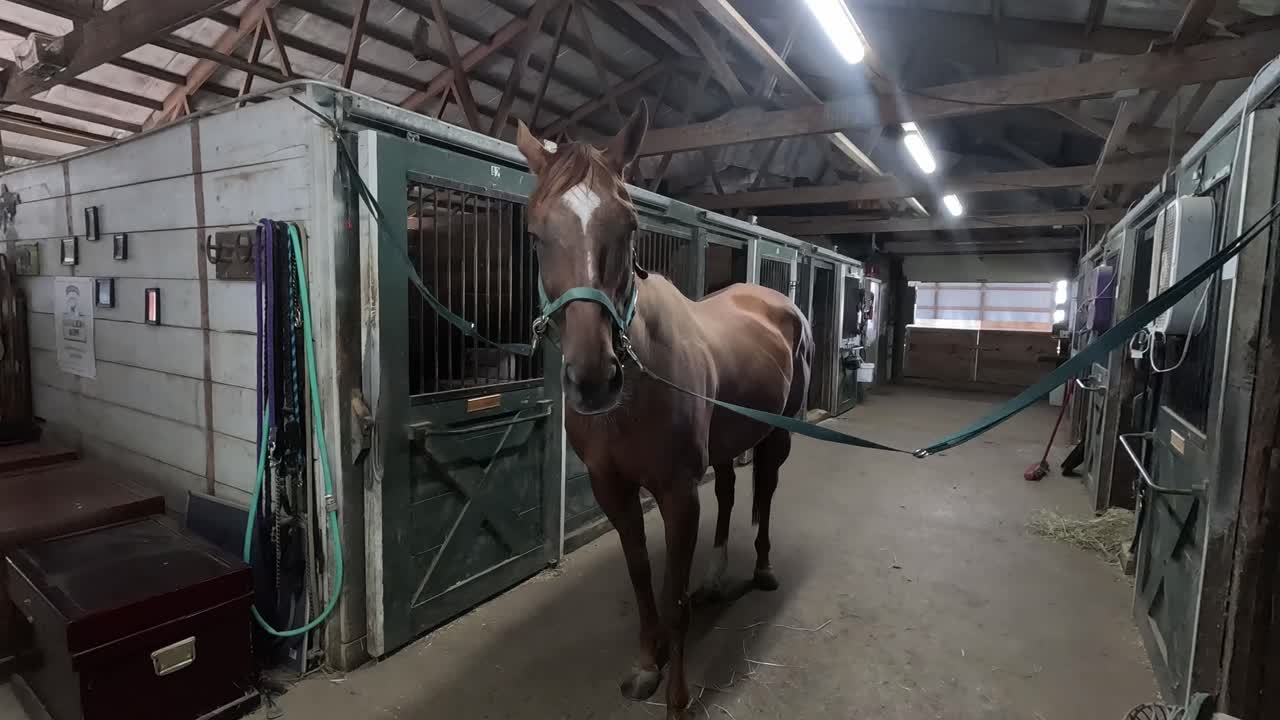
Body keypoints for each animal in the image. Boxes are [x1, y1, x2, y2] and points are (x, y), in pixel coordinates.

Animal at [515, 100, 814, 719]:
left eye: (630, 228)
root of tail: (777, 302)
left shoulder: (677, 493)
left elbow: (673, 595)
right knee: (729, 492)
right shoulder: (613, 488)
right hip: (727, 442)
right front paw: (645, 665)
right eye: (534, 233)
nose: (594, 380)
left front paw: (677, 698)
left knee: (765, 493)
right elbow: (641, 576)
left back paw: (763, 569)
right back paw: (717, 578)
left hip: (776, 438)